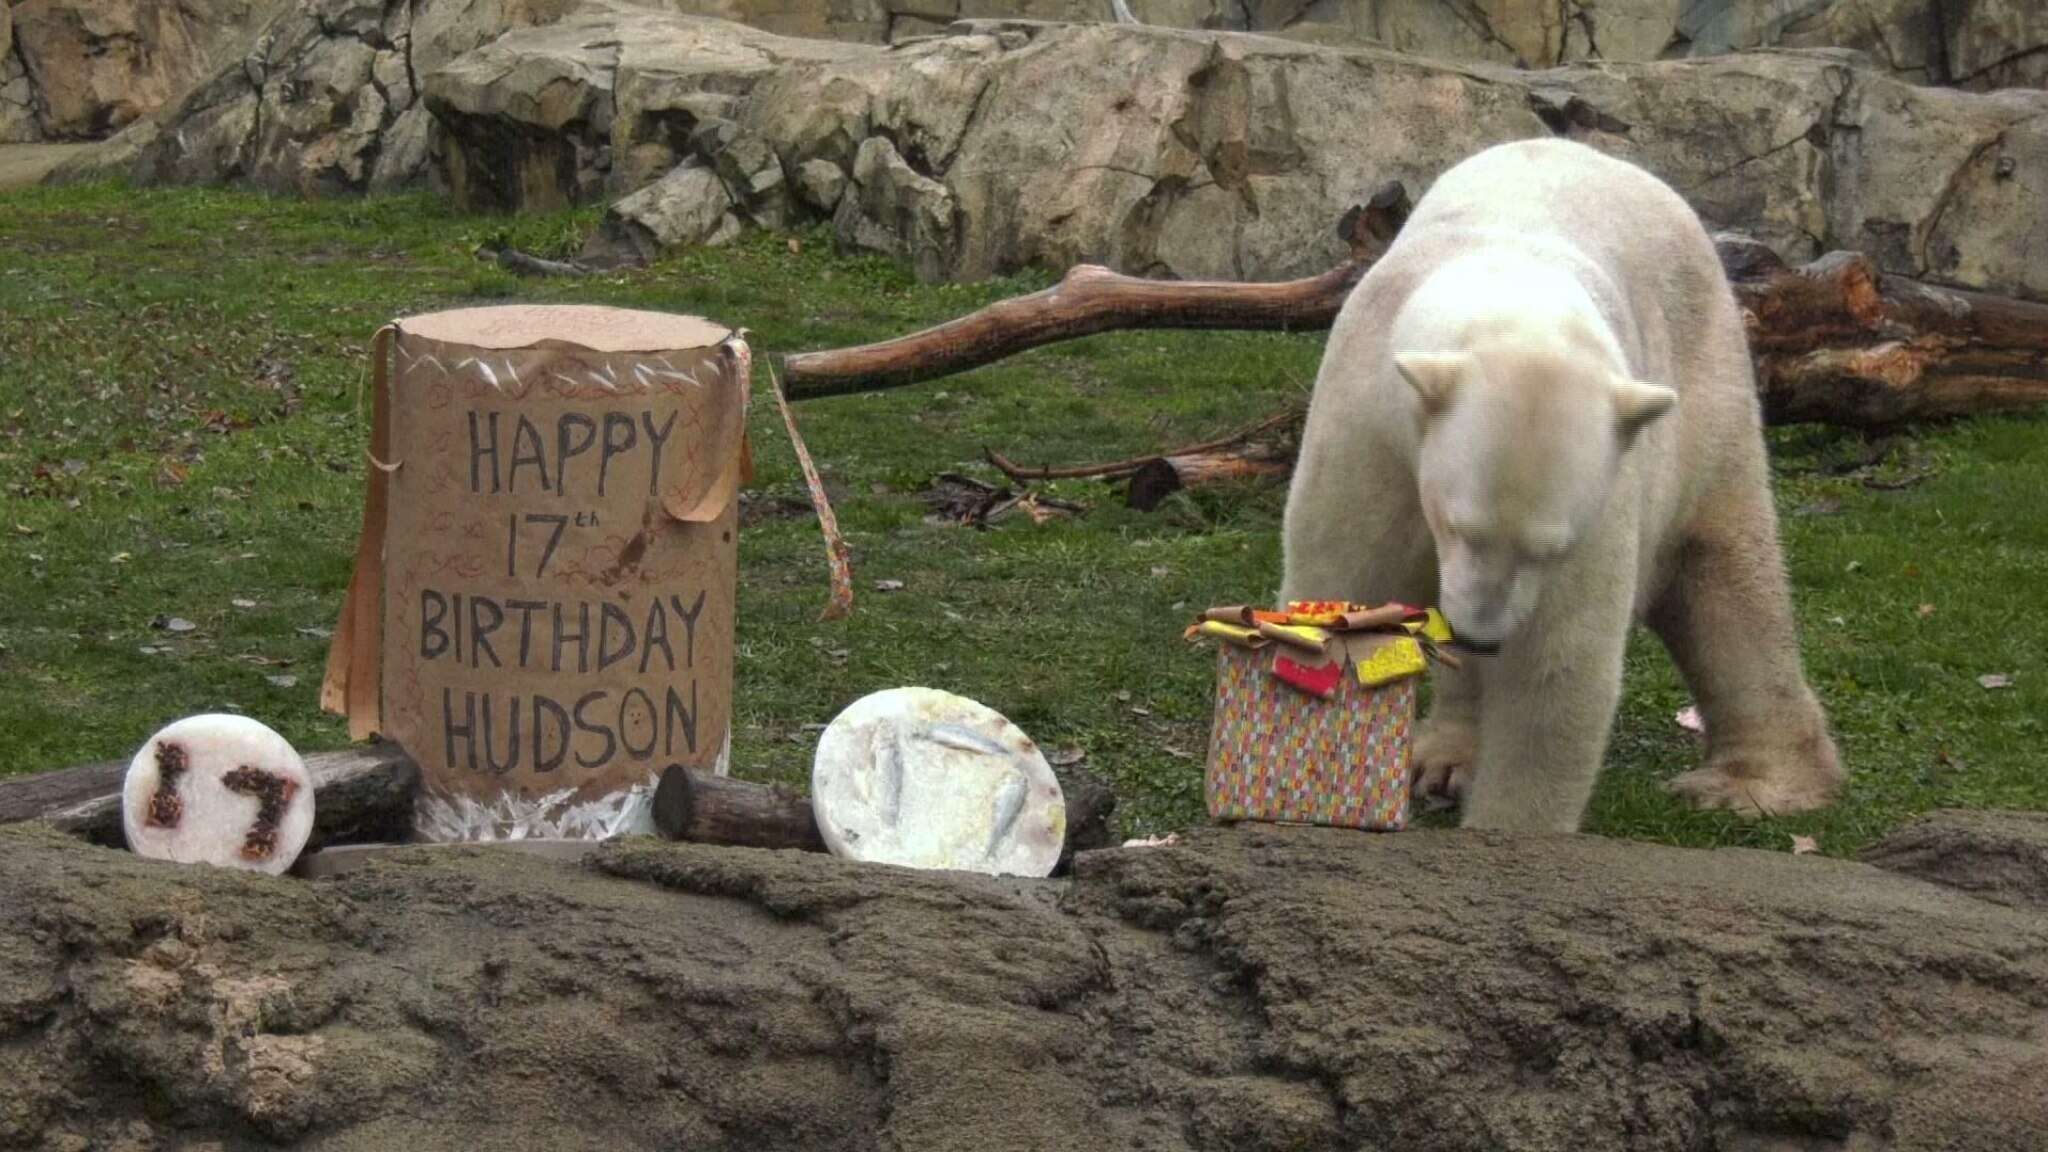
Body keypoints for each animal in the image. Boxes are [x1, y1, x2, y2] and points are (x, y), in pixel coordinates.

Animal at [1277, 139, 1843, 828]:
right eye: (1460, 527)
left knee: (1726, 573)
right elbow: (1346, 577)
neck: (1510, 275)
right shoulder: (1369, 421)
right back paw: (1445, 757)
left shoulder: (1605, 483)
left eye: (1551, 548)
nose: (1482, 635)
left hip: (1708, 394)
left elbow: (1555, 665)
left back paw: (1756, 782)